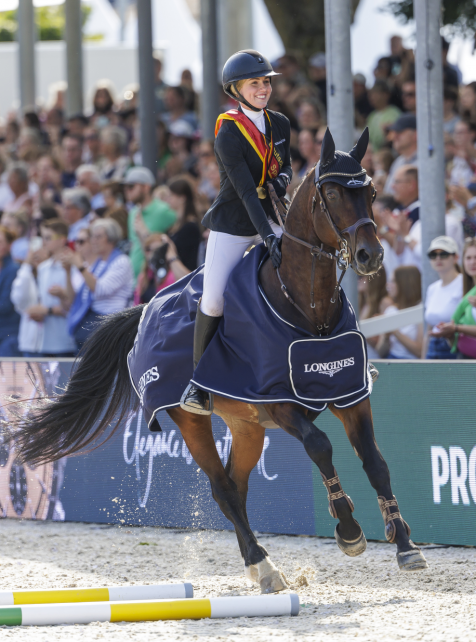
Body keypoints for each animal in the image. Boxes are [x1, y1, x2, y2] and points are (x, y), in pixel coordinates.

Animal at [10, 127, 428, 592]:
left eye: (370, 192)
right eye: (333, 194)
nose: (371, 256)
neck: (309, 309)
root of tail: (146, 309)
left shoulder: (351, 394)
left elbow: (376, 461)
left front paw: (405, 544)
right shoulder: (279, 403)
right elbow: (320, 446)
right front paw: (349, 530)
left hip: (247, 426)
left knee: (236, 485)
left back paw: (259, 565)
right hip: (190, 419)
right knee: (223, 489)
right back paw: (264, 566)